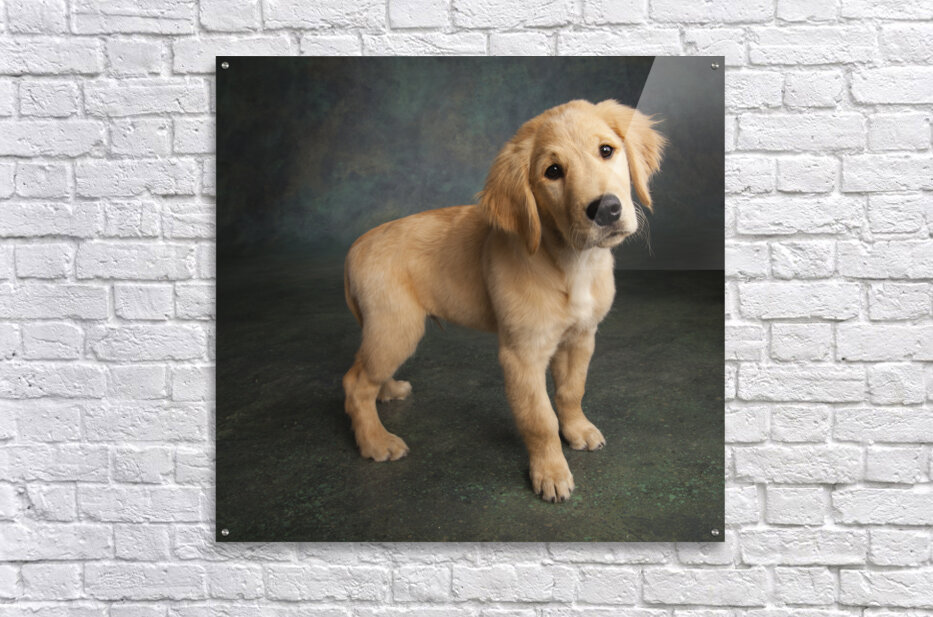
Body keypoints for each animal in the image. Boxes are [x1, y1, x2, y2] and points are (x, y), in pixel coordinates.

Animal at [342, 99, 665, 502]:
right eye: (553, 172)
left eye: (606, 150)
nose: (606, 209)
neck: (570, 262)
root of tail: (355, 247)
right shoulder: (521, 355)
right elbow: (539, 419)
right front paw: (551, 472)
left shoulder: (580, 338)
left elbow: (571, 391)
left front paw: (577, 429)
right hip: (397, 327)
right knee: (355, 383)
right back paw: (375, 441)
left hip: (386, 331)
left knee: (368, 370)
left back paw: (388, 391)